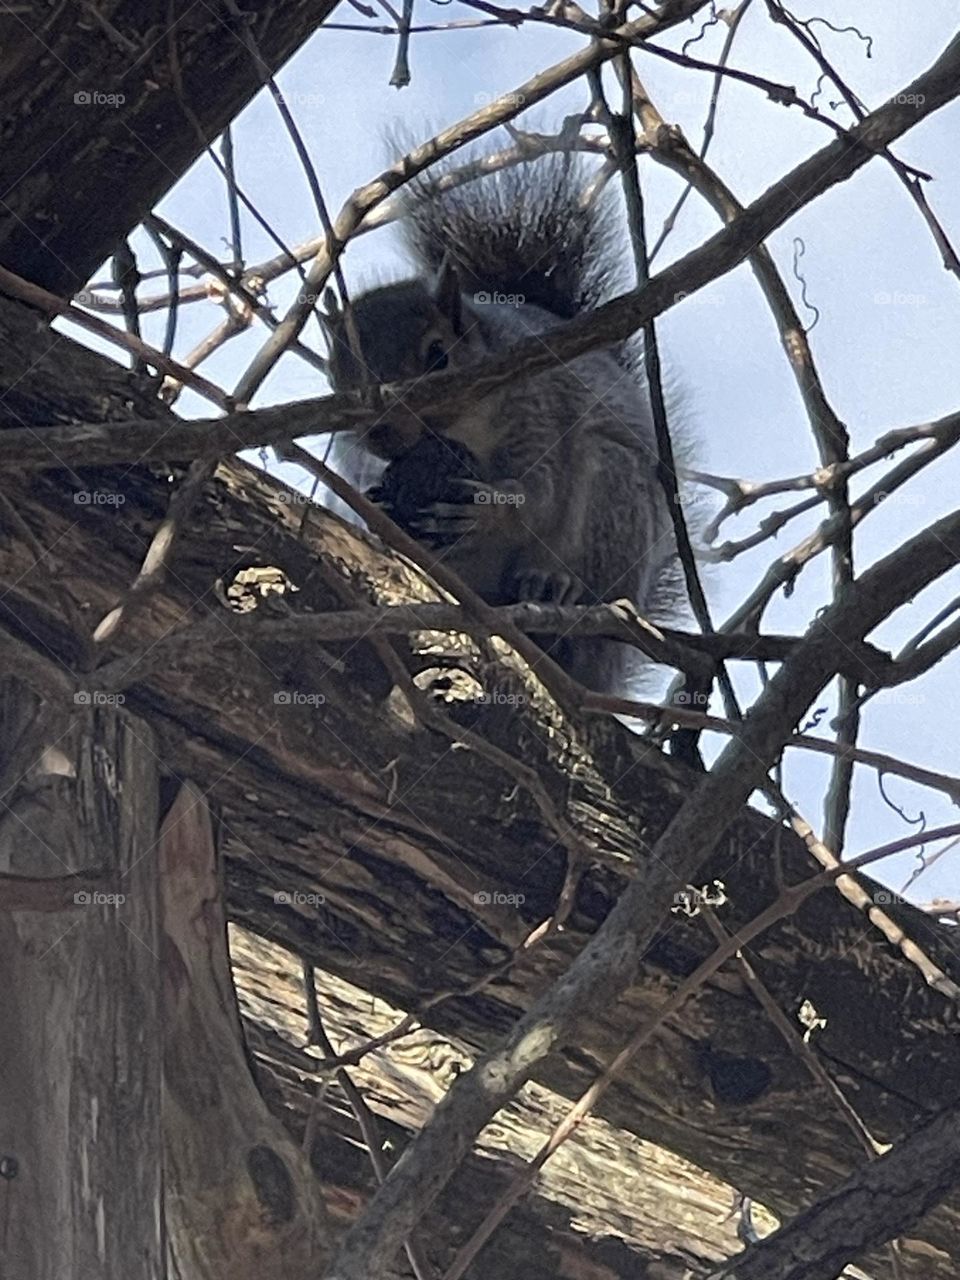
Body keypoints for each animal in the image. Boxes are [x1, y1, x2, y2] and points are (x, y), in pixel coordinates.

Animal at [324, 150, 682, 694]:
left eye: (438, 355)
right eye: (336, 376)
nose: (380, 433)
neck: (457, 430)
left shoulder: (539, 411)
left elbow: (537, 494)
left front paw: (487, 512)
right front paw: (383, 505)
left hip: (614, 498)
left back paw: (553, 585)